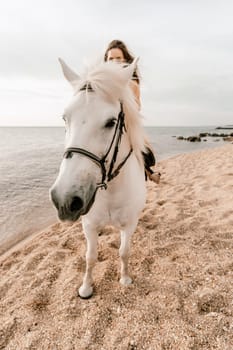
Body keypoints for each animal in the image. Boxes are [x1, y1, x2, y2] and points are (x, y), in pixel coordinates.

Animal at [50, 58, 147, 298]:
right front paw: (86, 288)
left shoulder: (129, 224)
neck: (110, 190)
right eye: (65, 118)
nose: (65, 200)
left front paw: (125, 279)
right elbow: (90, 257)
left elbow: (124, 251)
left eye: (111, 122)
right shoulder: (89, 225)